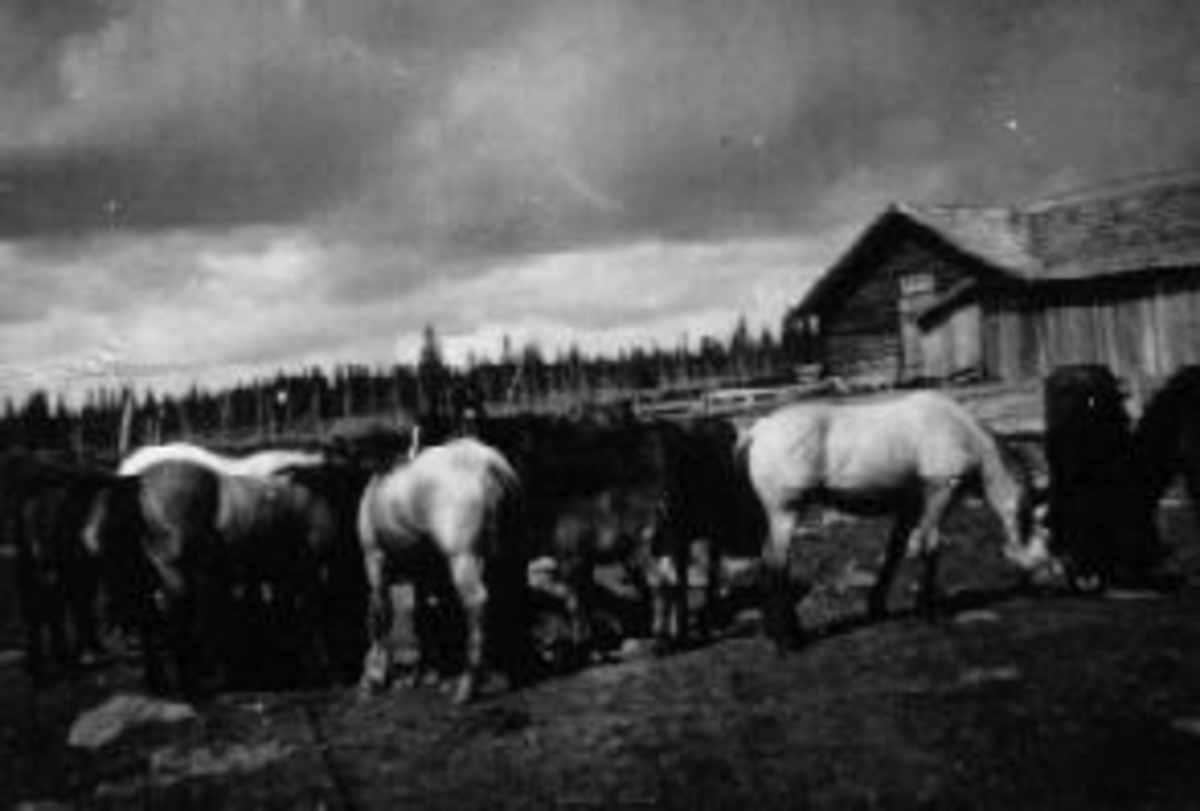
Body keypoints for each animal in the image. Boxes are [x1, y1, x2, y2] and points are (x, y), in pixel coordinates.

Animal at [355, 436, 525, 705]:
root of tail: (490, 464)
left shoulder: (375, 559)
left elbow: (381, 617)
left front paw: (372, 679)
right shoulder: (424, 573)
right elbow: (423, 616)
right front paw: (426, 674)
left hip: (462, 557)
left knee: (476, 603)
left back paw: (467, 687)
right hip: (507, 554)